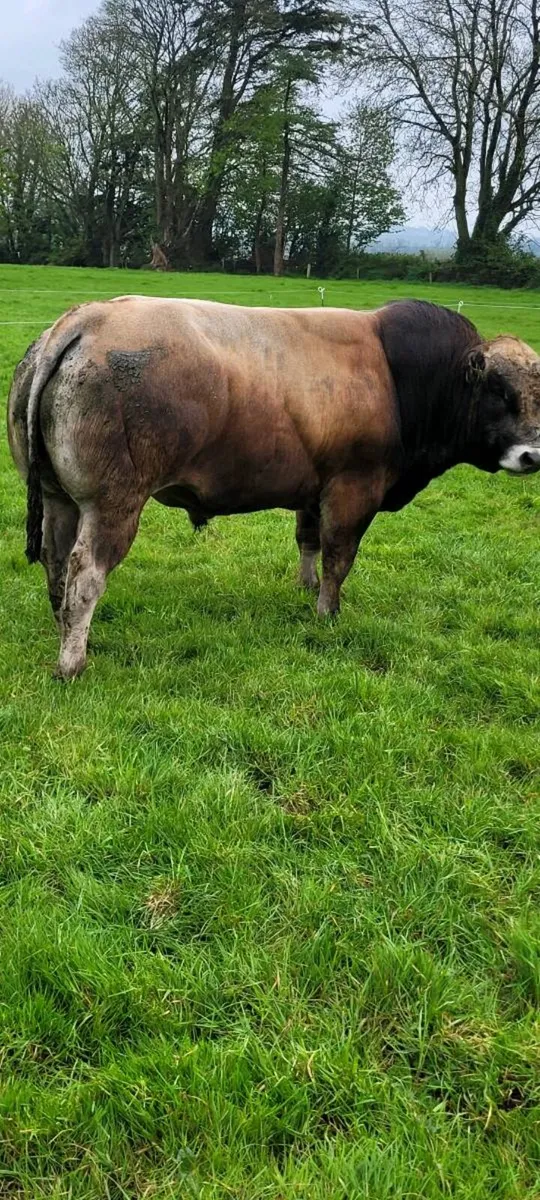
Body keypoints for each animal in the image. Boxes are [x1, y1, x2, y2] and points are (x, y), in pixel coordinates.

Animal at [7, 296, 540, 680]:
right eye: (500, 391)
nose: (532, 455)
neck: (398, 374)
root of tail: (87, 318)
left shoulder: (315, 489)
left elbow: (308, 541)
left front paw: (306, 588)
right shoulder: (353, 488)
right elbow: (338, 555)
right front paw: (327, 612)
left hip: (60, 498)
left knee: (57, 563)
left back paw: (62, 629)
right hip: (113, 504)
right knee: (86, 575)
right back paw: (72, 661)